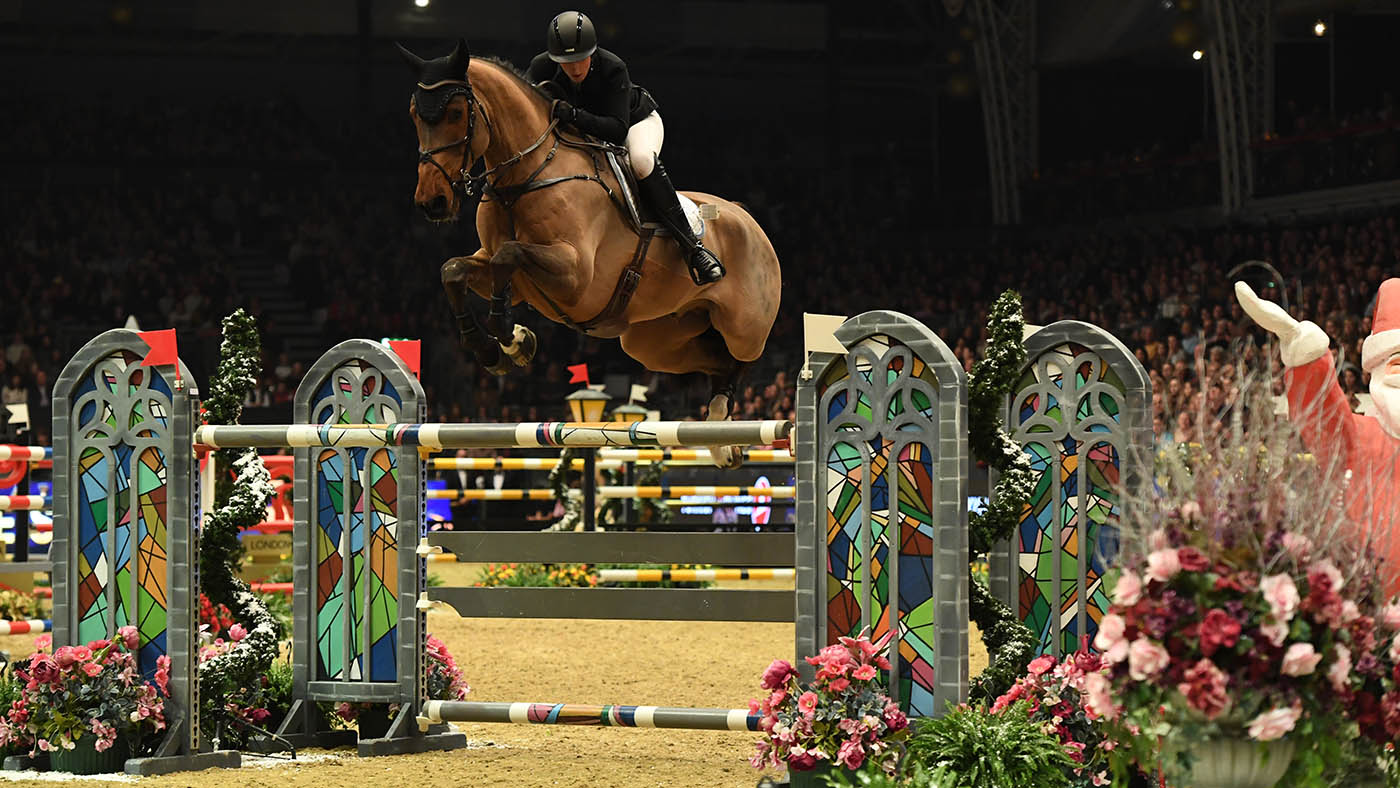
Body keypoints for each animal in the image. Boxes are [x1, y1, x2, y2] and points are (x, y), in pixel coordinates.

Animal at [397, 39, 781, 467]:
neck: (526, 174)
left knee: (741, 359)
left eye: (456, 113)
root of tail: (745, 216)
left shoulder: (575, 276)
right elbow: (455, 270)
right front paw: (500, 347)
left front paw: (509, 335)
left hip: (744, 326)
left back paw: (721, 431)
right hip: (655, 341)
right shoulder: (506, 271)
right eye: (415, 115)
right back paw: (721, 439)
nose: (432, 202)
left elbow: (507, 256)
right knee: (716, 361)